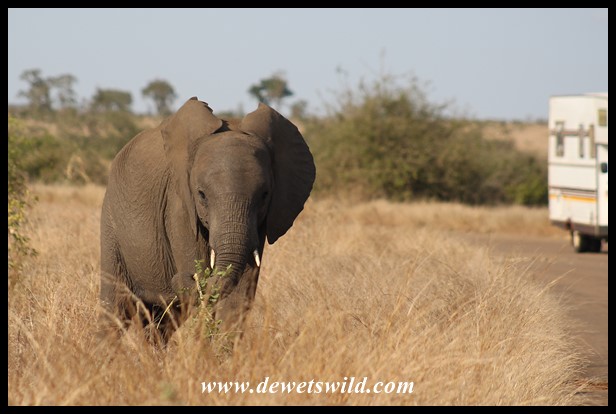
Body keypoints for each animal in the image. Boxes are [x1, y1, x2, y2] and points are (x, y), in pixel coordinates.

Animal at [99, 97, 315, 341]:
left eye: (265, 195)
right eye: (201, 194)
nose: (185, 277)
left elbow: (239, 296)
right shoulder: (178, 205)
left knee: (160, 321)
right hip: (111, 222)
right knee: (115, 308)